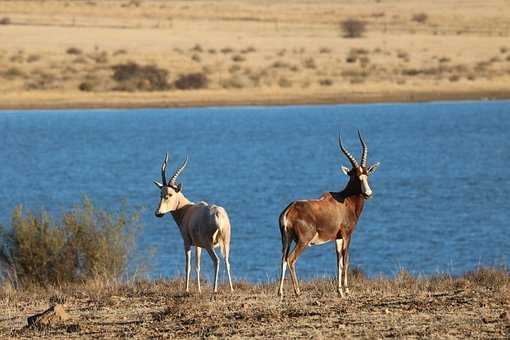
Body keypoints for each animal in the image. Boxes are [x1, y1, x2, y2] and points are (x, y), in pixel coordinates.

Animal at [154, 154, 234, 292]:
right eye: (161, 193)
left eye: (170, 194)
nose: (158, 213)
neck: (187, 209)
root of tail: (218, 215)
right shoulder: (198, 245)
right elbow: (197, 265)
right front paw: (199, 289)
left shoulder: (187, 243)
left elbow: (188, 266)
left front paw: (186, 289)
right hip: (225, 242)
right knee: (226, 261)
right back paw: (231, 289)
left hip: (209, 245)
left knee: (216, 260)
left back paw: (214, 289)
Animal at [278, 131, 378, 296]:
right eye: (355, 176)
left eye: (366, 175)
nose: (368, 193)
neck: (344, 199)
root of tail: (289, 211)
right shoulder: (346, 235)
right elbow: (345, 260)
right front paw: (347, 290)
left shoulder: (337, 237)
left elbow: (338, 261)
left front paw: (340, 291)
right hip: (303, 241)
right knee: (291, 259)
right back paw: (297, 292)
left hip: (286, 239)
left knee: (283, 259)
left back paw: (280, 293)